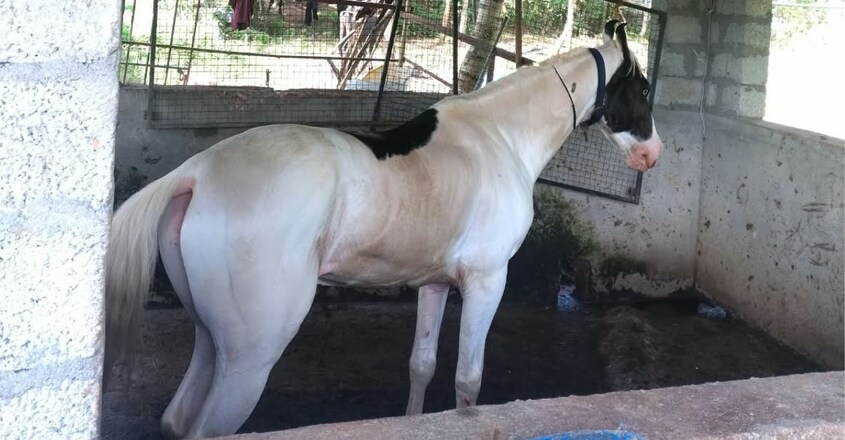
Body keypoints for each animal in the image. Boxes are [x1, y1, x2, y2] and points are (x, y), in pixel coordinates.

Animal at [105, 20, 663, 439]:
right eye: (641, 87)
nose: (652, 154)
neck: (498, 136)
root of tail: (197, 173)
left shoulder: (435, 285)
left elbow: (422, 365)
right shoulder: (486, 282)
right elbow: (468, 382)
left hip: (209, 342)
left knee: (177, 418)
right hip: (249, 357)